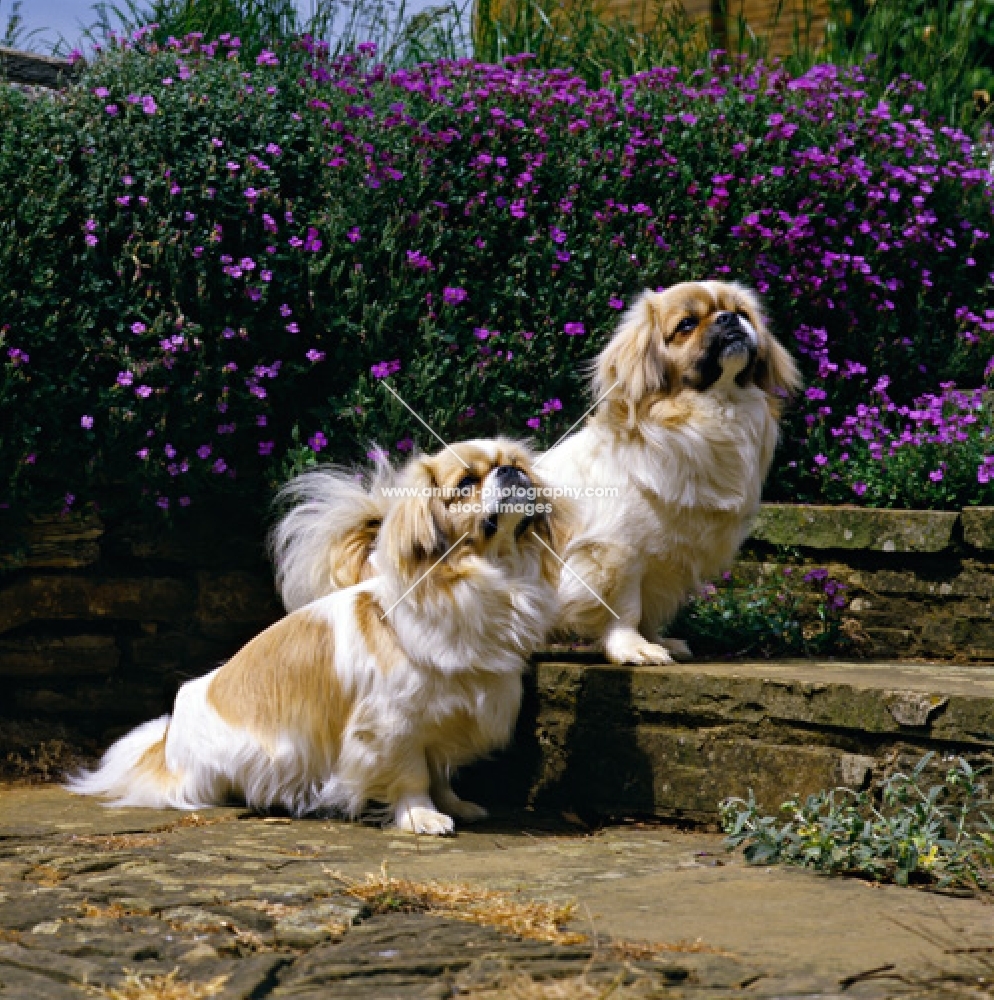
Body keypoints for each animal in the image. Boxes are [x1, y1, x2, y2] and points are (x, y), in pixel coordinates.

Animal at [69, 442, 560, 832]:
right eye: (466, 482)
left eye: (515, 463)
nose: (509, 472)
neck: (485, 579)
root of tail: (168, 742)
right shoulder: (393, 723)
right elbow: (412, 774)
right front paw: (421, 816)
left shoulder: (444, 715)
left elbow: (439, 769)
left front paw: (453, 805)